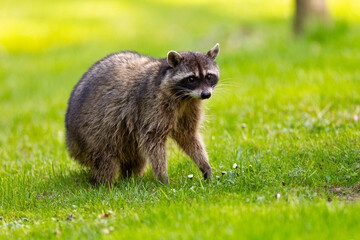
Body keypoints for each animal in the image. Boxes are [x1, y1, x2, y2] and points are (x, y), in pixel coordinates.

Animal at [66, 44, 221, 185]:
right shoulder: (152, 104)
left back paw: (130, 179)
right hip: (93, 131)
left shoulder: (190, 107)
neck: (185, 97)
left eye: (209, 76)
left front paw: (204, 165)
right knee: (106, 158)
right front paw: (162, 176)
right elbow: (153, 139)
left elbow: (187, 135)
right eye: (191, 79)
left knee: (136, 159)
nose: (206, 94)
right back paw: (104, 183)